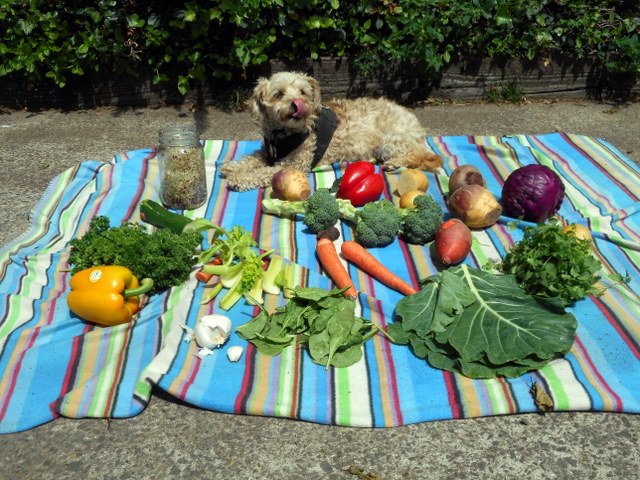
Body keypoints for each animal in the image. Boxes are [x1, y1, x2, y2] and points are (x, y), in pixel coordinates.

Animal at [218, 71, 442, 191]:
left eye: (303, 92)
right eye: (279, 94)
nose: (296, 104)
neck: (283, 135)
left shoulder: (295, 165)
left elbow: (262, 171)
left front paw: (239, 178)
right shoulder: (268, 151)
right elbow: (252, 159)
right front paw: (232, 166)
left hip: (393, 140)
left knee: (424, 157)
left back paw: (394, 163)